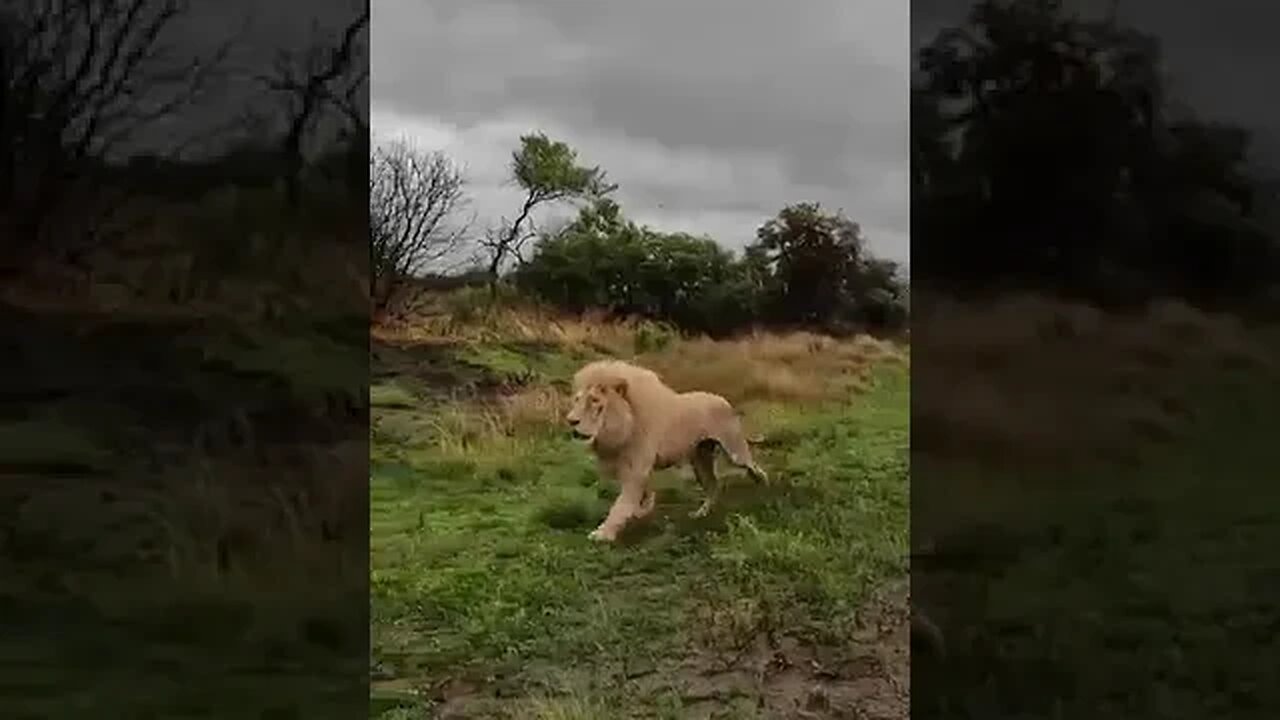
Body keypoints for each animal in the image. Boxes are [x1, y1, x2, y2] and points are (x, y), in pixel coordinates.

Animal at [565, 356, 762, 540]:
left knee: (750, 464)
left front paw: (603, 533)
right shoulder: (630, 467)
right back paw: (700, 514)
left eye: (594, 401)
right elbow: (642, 495)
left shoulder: (635, 469)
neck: (623, 426)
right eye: (577, 400)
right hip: (700, 461)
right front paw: (642, 510)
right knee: (713, 486)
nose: (570, 420)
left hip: (734, 451)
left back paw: (761, 481)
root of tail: (724, 401)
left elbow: (620, 505)